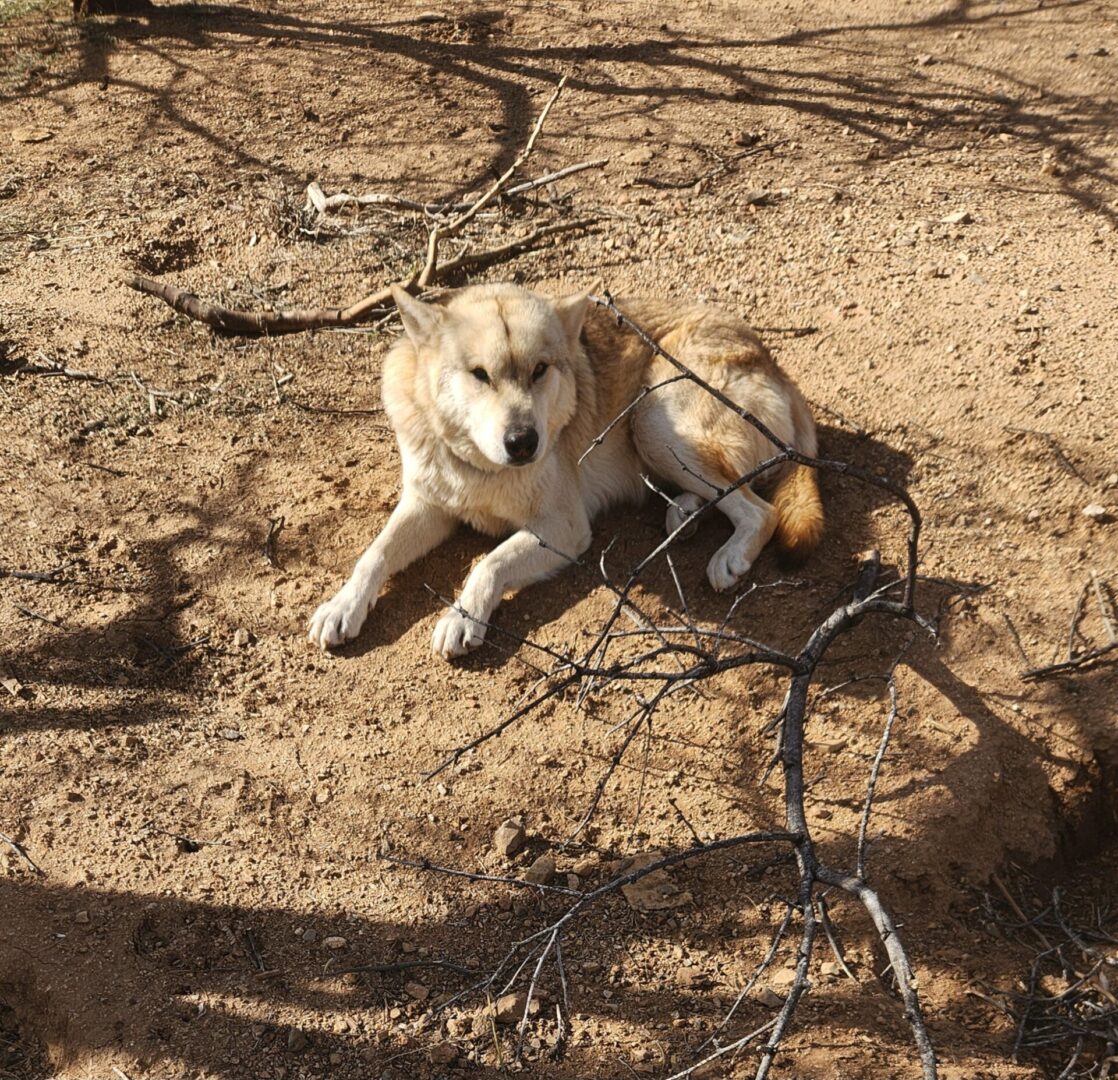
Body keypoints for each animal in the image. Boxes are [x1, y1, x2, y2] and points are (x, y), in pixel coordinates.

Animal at [306, 282, 822, 657]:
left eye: (540, 370)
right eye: (479, 375)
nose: (523, 442)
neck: (480, 467)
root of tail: (776, 366)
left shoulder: (564, 527)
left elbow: (488, 563)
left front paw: (461, 617)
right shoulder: (429, 505)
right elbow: (374, 554)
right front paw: (342, 605)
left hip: (652, 417)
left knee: (759, 510)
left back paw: (729, 555)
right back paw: (684, 515)